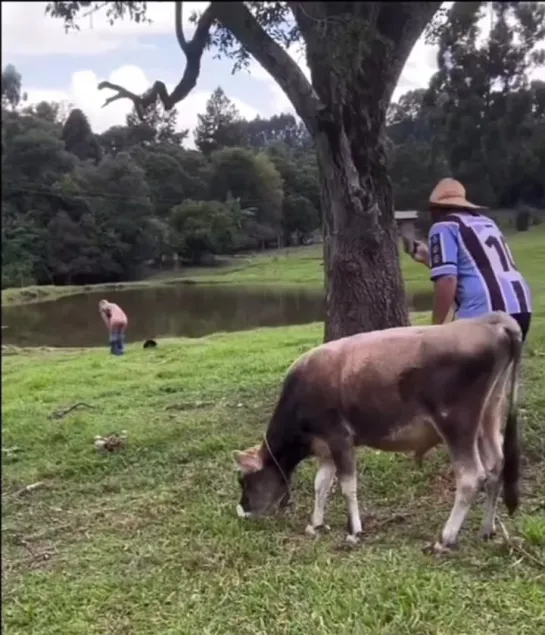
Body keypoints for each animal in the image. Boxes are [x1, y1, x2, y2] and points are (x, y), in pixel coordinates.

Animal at [234, 310, 524, 556]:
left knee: (471, 477)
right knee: (496, 465)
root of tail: (494, 320)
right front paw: (315, 523)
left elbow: (347, 486)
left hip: (457, 423)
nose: (242, 511)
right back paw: (487, 529)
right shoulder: (325, 447)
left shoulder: (340, 437)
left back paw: (445, 539)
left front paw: (354, 531)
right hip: (490, 413)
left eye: (244, 481)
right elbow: (321, 484)